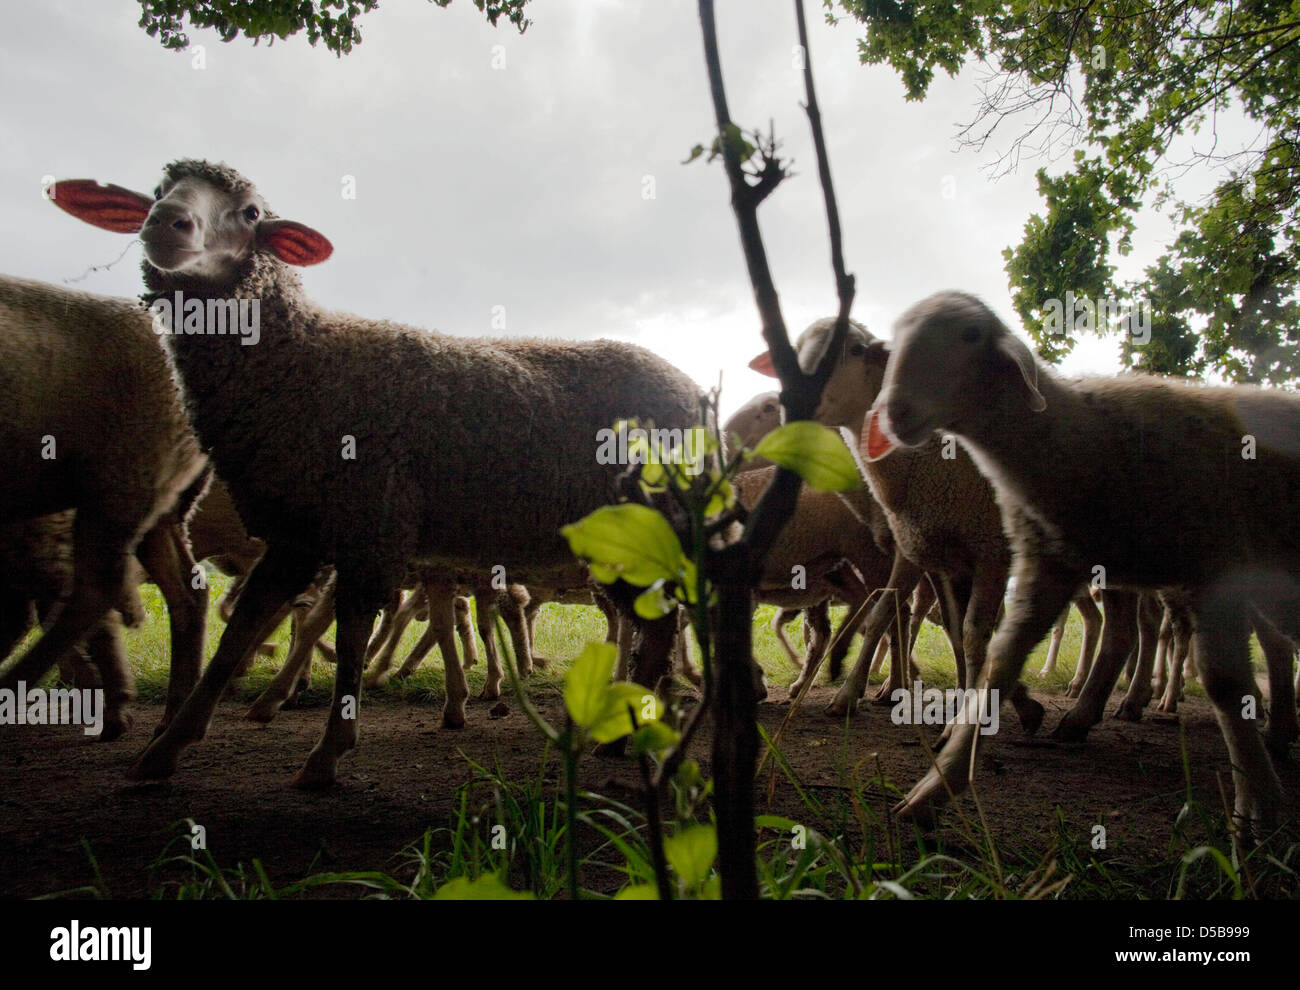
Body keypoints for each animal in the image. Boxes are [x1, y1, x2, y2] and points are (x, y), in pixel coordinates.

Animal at [50, 157, 707, 784]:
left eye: (251, 212)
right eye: (158, 189)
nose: (166, 221)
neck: (301, 362)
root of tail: (693, 387)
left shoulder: (370, 518)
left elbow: (349, 631)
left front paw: (327, 754)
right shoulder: (297, 530)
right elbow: (243, 628)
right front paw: (166, 749)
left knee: (660, 626)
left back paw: (625, 736)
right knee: (651, 623)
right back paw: (627, 729)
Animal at [863, 289, 1300, 831]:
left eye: (970, 334)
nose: (894, 412)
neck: (1071, 433)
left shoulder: (1213, 567)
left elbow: (1222, 683)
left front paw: (1256, 804)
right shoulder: (1046, 563)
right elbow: (999, 663)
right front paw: (936, 787)